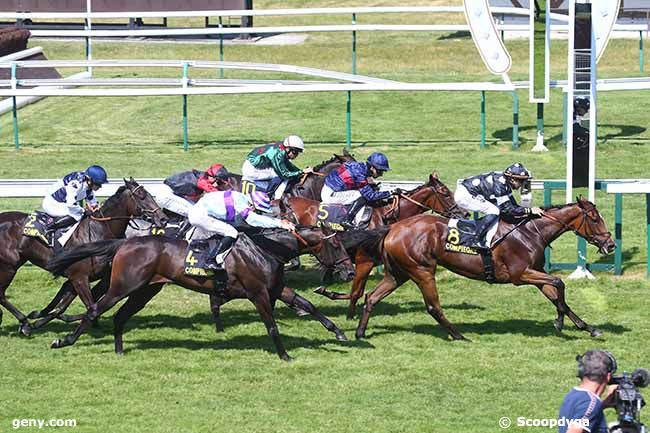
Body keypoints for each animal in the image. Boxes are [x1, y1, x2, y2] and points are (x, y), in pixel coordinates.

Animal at [0, 178, 167, 334]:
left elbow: (62, 307)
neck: (98, 230)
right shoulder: (79, 277)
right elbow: (90, 306)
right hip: (9, 267)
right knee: (1, 295)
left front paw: (40, 319)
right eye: (141, 196)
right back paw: (24, 323)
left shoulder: (77, 278)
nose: (163, 218)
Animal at [47, 224, 356, 360]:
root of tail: (124, 243)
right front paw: (284, 356)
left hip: (145, 291)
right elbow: (272, 326)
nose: (350, 272)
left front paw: (339, 333)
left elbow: (309, 305)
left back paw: (120, 350)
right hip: (124, 285)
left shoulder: (277, 288)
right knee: (94, 310)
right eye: (336, 245)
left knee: (120, 316)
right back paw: (64, 341)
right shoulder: (258, 293)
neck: (267, 249)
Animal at [284, 171, 466, 318]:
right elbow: (356, 292)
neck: (384, 215)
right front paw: (348, 315)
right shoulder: (365, 260)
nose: (463, 213)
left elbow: (356, 291)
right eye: (445, 193)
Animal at [354, 196, 612, 340]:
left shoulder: (536, 274)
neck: (530, 232)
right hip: (422, 271)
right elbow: (559, 284)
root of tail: (393, 228)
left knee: (371, 297)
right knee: (433, 307)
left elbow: (558, 296)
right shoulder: (521, 274)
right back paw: (459, 335)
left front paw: (588, 328)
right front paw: (558, 322)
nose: (610, 244)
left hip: (397, 274)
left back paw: (360, 333)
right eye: (595, 218)